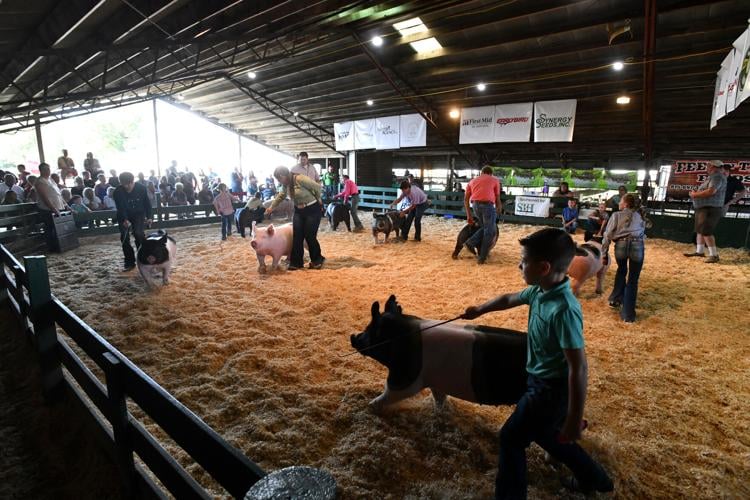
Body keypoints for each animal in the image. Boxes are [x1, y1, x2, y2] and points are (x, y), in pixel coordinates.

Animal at [350, 294, 524, 412]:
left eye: (369, 330)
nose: (352, 337)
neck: (400, 336)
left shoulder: (406, 376)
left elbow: (390, 393)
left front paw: (369, 406)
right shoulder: (434, 380)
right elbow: (439, 396)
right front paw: (441, 410)